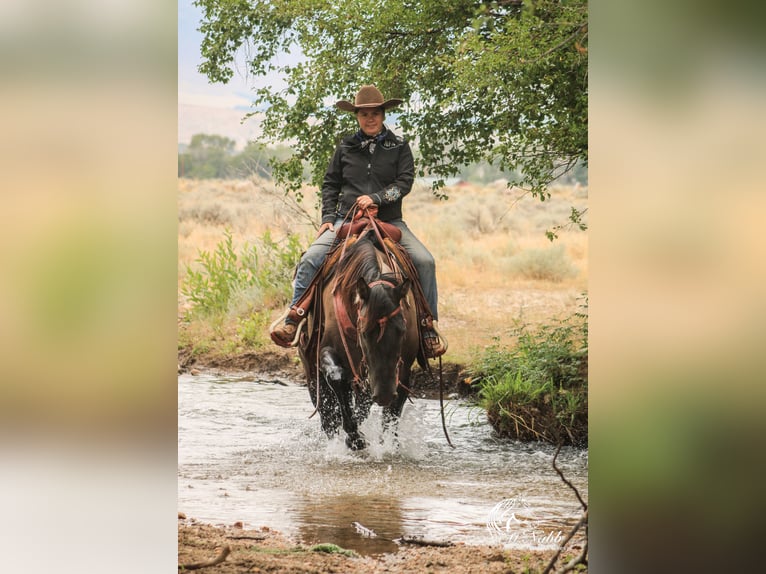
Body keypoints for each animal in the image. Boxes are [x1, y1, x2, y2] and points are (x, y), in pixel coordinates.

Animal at [302, 234, 420, 450]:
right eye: (364, 333)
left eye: (402, 330)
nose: (384, 395)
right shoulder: (326, 351)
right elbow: (336, 377)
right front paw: (355, 438)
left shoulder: (401, 367)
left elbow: (391, 412)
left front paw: (387, 445)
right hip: (312, 374)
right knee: (326, 414)